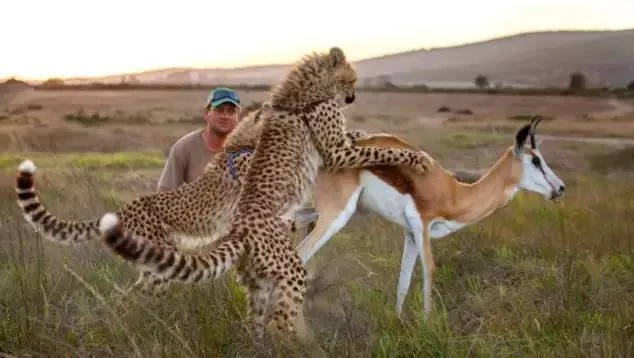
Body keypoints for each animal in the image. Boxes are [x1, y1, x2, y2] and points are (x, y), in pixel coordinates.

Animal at [97, 45, 434, 344]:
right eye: (351, 79)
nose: (352, 97)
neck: (307, 91)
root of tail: (238, 228)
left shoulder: (330, 151)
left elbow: (358, 140)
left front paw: (364, 133)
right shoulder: (336, 154)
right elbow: (379, 151)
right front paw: (418, 158)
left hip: (256, 281)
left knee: (256, 323)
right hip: (288, 268)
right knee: (280, 321)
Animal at [296, 117, 564, 318]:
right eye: (535, 160)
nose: (560, 188)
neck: (454, 193)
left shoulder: (410, 234)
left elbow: (403, 281)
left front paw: (398, 322)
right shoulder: (422, 225)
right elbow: (429, 270)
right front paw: (428, 323)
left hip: (307, 211)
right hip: (335, 215)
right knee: (300, 255)